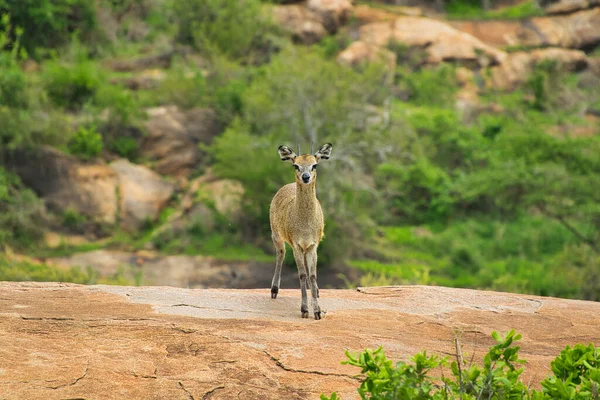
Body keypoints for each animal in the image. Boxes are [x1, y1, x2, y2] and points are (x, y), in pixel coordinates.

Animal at [268, 142, 332, 320]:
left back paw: (316, 291)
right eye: (295, 165)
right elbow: (302, 274)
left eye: (315, 164)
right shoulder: (296, 245)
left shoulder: (312, 245)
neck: (305, 226)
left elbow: (312, 274)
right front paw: (304, 309)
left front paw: (317, 310)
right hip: (276, 235)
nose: (305, 177)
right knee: (280, 254)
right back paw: (274, 290)